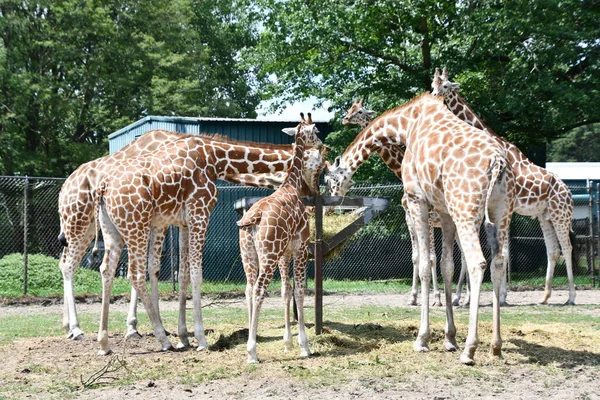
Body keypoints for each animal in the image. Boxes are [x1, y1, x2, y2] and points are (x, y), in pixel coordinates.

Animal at [58, 130, 326, 346]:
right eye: (321, 166)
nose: (313, 195)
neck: (215, 159)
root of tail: (64, 188)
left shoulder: (176, 221)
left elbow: (179, 273)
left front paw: (179, 332)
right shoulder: (185, 217)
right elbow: (177, 271)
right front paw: (190, 335)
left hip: (96, 228)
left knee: (92, 266)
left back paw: (85, 333)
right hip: (85, 224)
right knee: (80, 266)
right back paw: (81, 329)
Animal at [238, 111, 324, 362]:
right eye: (316, 130)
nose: (321, 143)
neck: (292, 186)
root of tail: (254, 218)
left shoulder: (285, 253)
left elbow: (286, 291)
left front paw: (288, 343)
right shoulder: (301, 248)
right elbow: (299, 291)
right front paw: (304, 346)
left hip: (249, 255)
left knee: (249, 289)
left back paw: (250, 343)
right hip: (268, 255)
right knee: (259, 290)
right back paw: (252, 351)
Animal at [328, 94, 516, 366]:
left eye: (331, 179)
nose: (332, 204)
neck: (405, 126)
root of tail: (498, 162)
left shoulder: (417, 200)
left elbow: (425, 262)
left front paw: (422, 338)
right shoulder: (445, 212)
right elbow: (446, 265)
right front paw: (449, 337)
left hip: (466, 210)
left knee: (477, 262)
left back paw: (470, 349)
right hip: (499, 212)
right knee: (498, 261)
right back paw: (496, 345)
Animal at [432, 68, 576, 306]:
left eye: (445, 86)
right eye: (432, 85)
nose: (434, 97)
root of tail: (569, 193)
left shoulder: (505, 208)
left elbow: (504, 252)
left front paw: (500, 297)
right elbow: (501, 251)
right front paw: (500, 296)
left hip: (560, 214)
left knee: (567, 247)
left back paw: (571, 297)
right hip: (544, 215)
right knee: (553, 250)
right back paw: (545, 297)